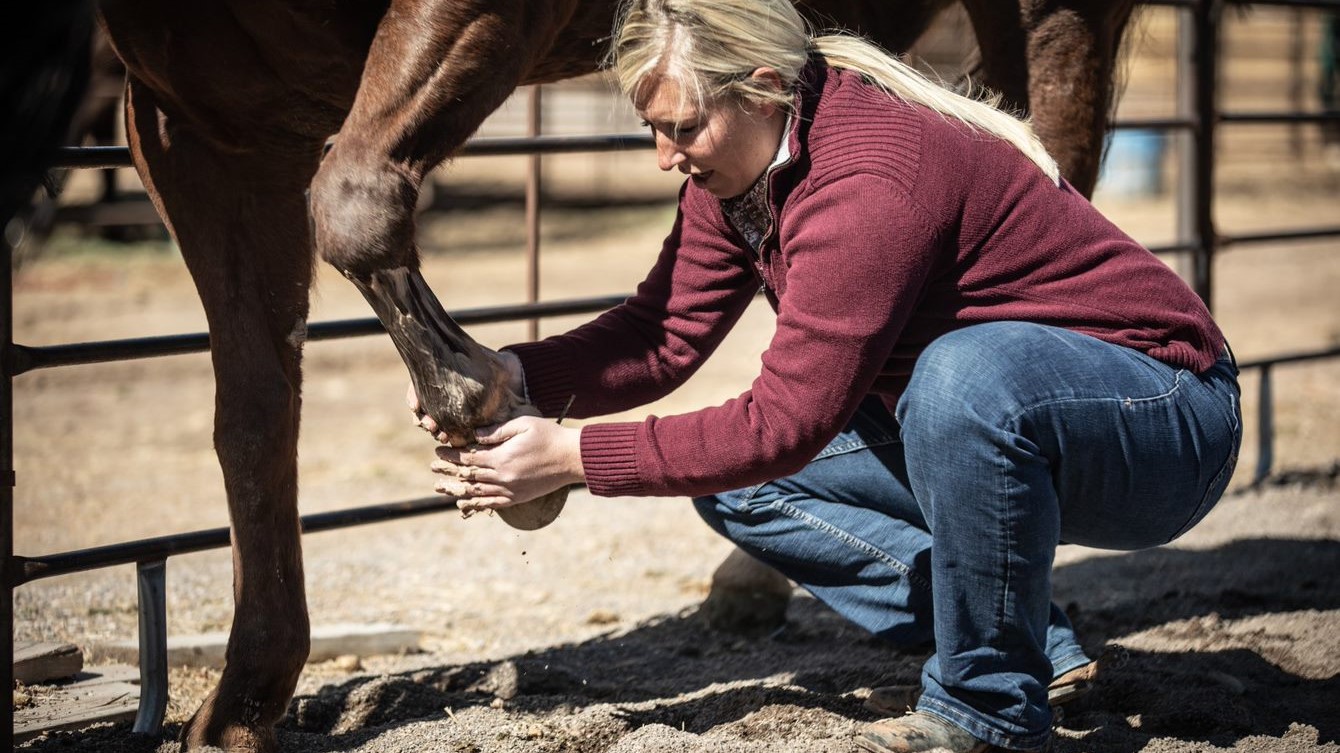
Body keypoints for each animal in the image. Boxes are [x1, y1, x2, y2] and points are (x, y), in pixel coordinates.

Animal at [94, 0, 1130, 744]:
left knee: (1050, 156)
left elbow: (352, 200)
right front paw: (240, 707)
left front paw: (482, 408)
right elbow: (254, 417)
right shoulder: (196, 125)